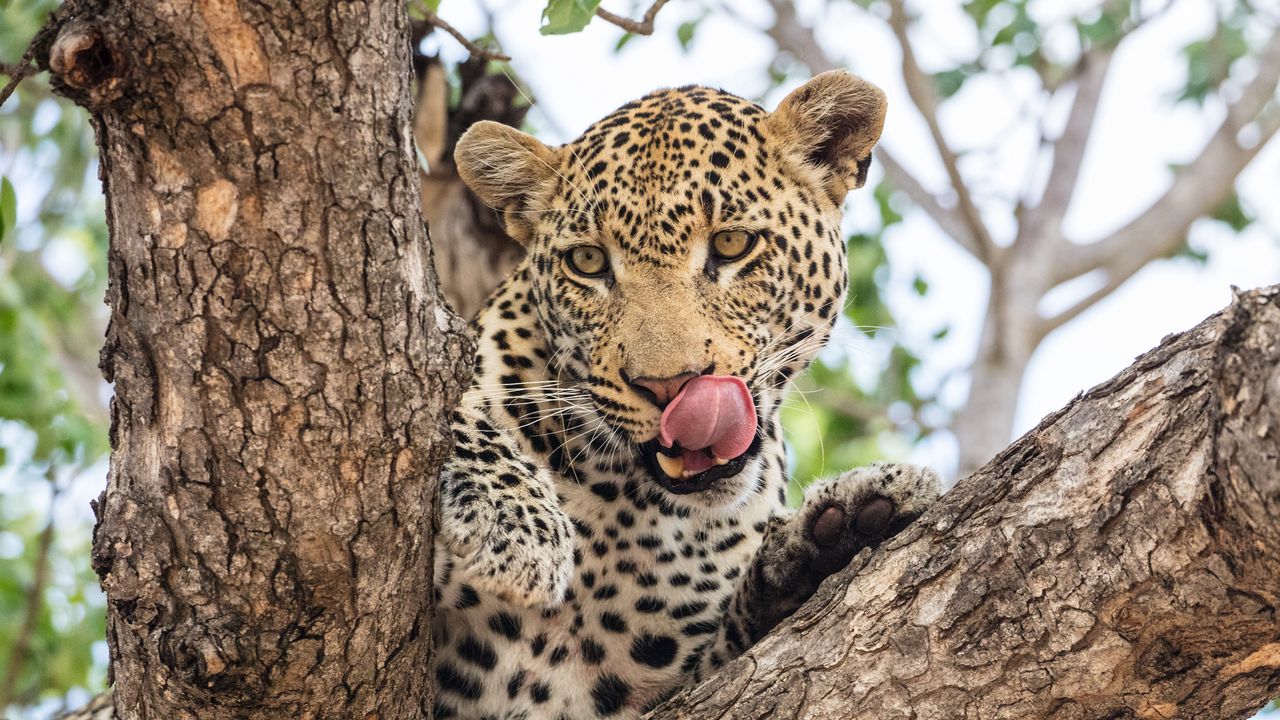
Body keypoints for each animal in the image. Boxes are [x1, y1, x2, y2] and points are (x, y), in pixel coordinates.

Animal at [432, 71, 942, 717]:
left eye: (731, 245)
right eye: (587, 261)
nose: (669, 385)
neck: (626, 510)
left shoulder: (668, 686)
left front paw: (839, 531)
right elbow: (449, 399)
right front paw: (515, 524)